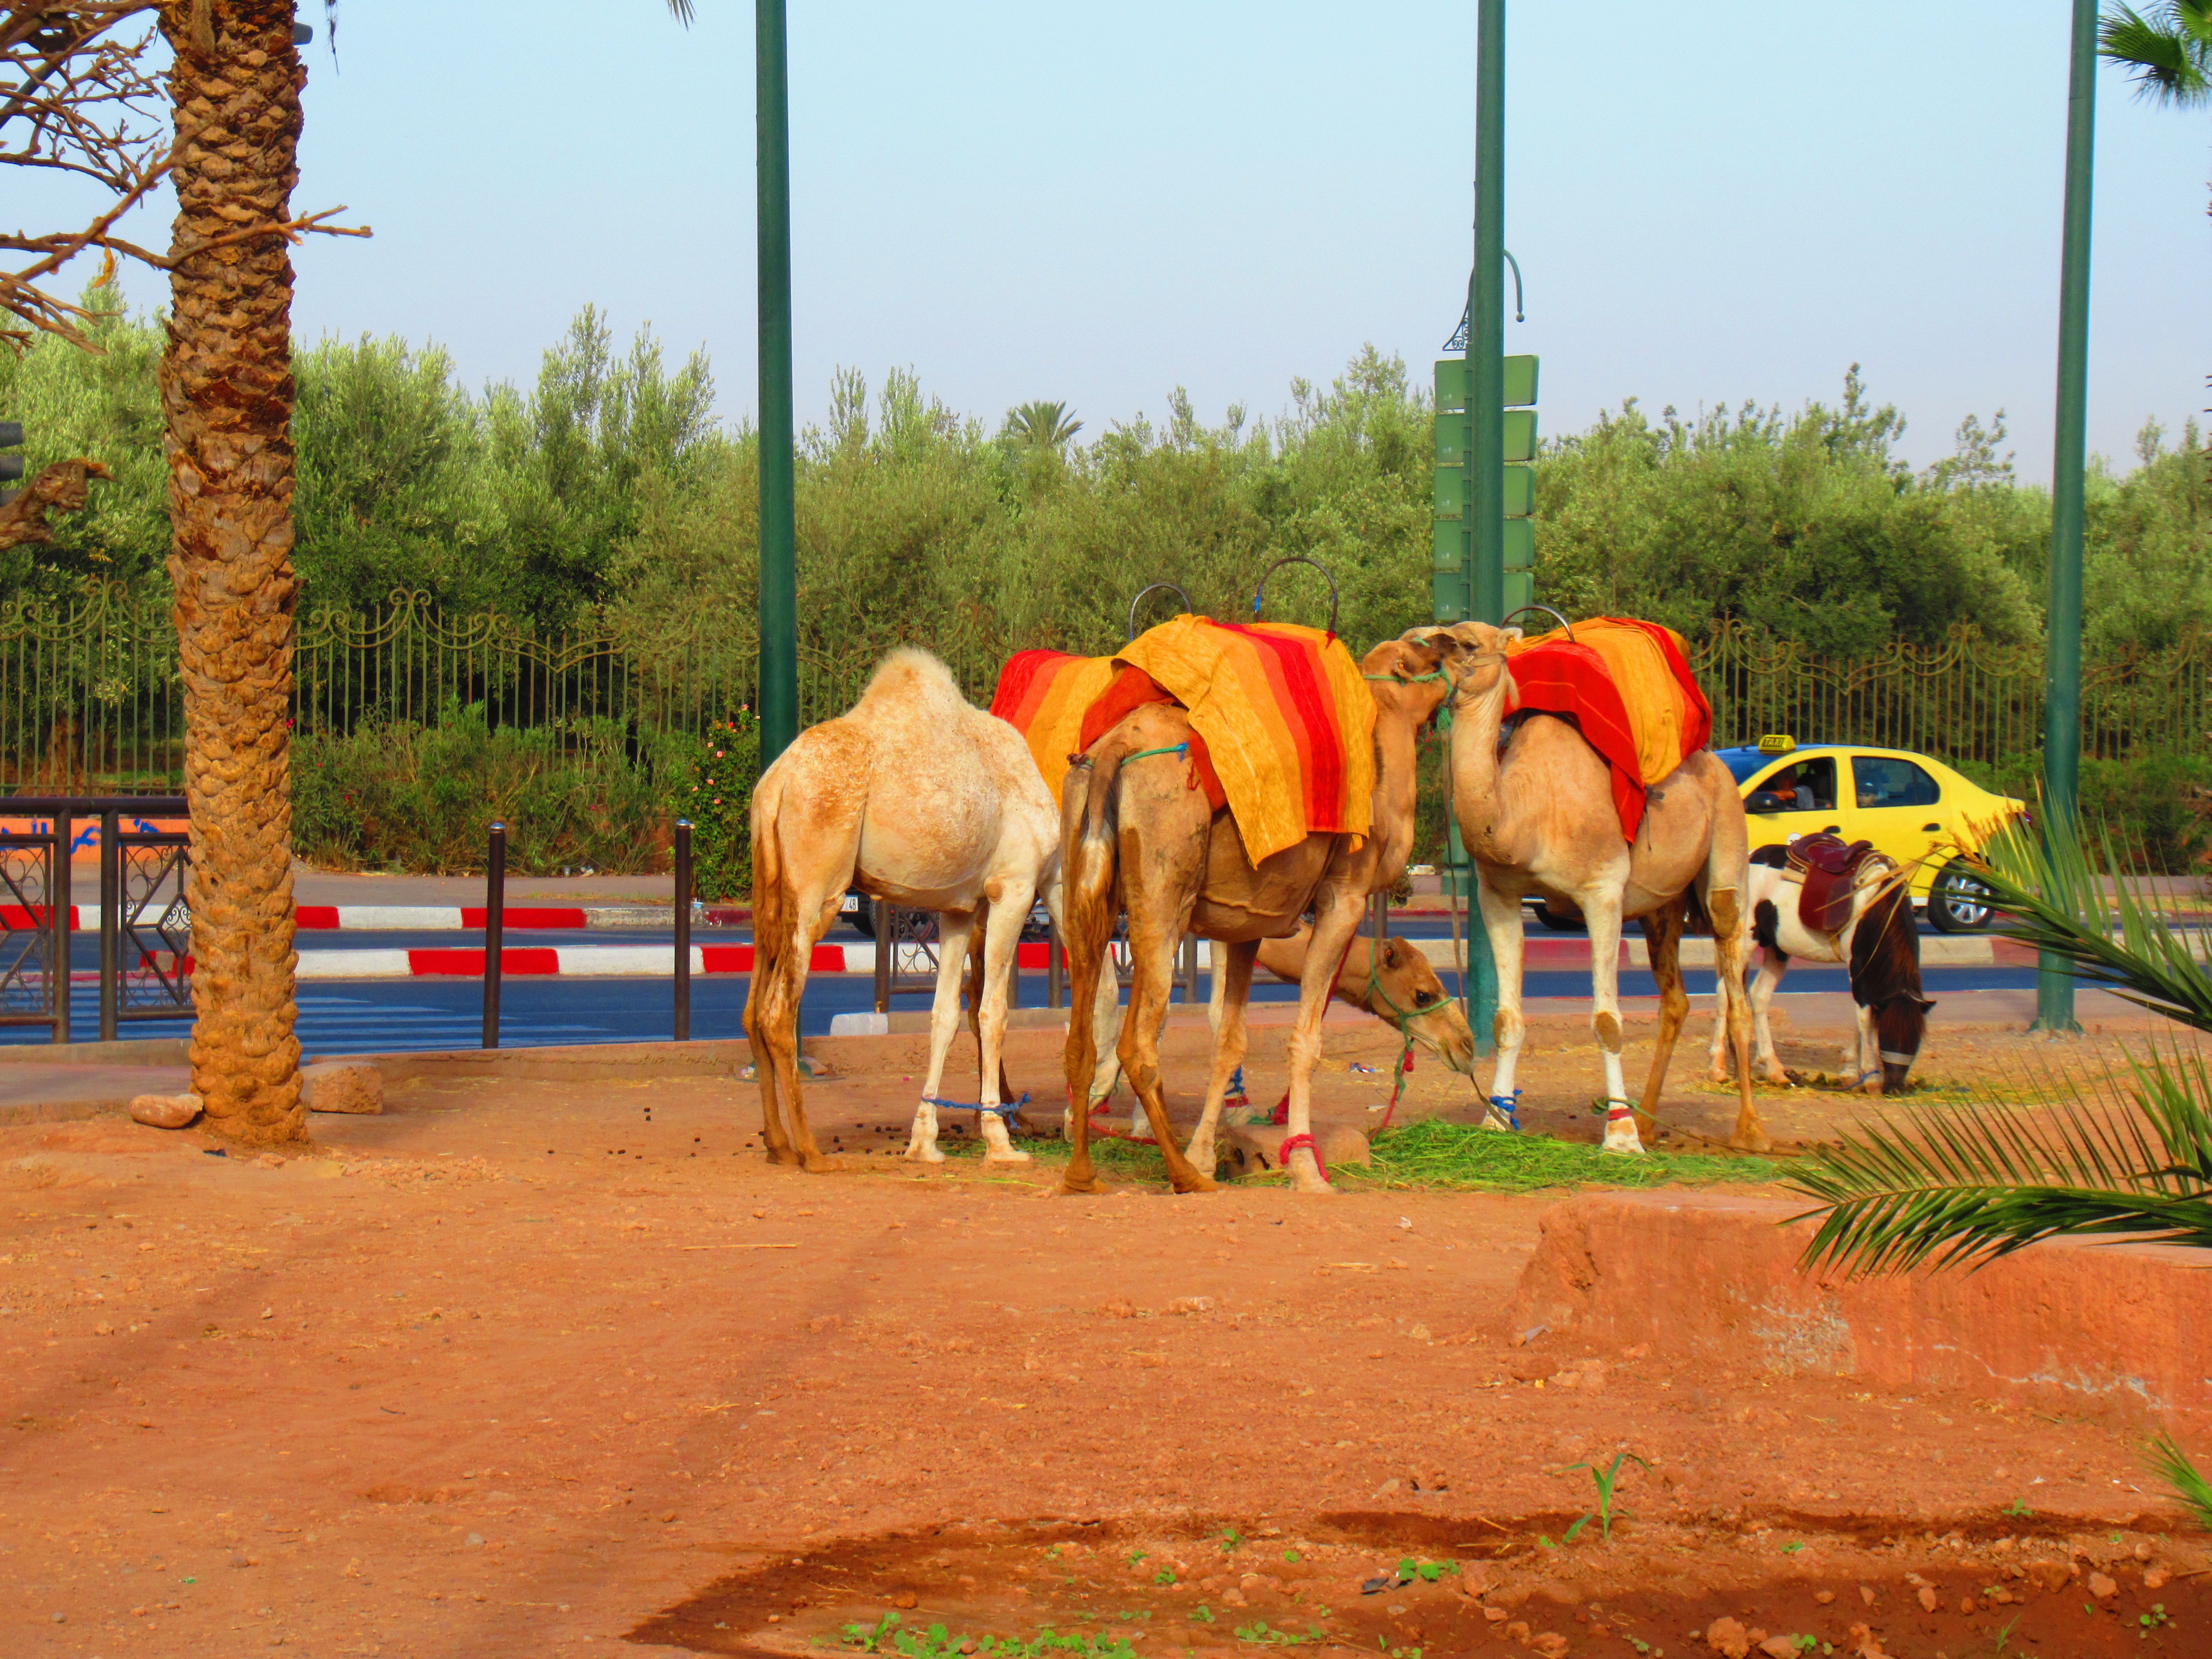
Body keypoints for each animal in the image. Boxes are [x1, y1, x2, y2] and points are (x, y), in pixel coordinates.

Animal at [748, 650, 1123, 1168]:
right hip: (816, 886)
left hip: (768, 889)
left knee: (752, 1010)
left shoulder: (959, 910)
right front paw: (1001, 1143)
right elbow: (992, 1013)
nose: (1088, 1114)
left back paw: (779, 1145)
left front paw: (924, 1141)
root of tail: (776, 783)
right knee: (777, 1010)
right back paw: (811, 1151)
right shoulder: (1014, 886)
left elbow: (944, 1013)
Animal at [1415, 623, 1761, 1159]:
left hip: (1728, 838)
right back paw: (1653, 1121)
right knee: (1676, 999)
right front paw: (1496, 1120)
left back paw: (1746, 1129)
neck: (1526, 816)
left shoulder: (1602, 892)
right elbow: (1505, 1019)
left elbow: (1607, 1022)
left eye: (1466, 643)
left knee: (1734, 974)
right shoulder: (1499, 894)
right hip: (1662, 906)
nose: (1415, 649)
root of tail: (1717, 764)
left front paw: (1620, 1137)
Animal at [1708, 849, 1938, 1097]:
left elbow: (1862, 1017)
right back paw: (1717, 1068)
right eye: (1886, 1035)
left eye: (1916, 1039)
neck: (1875, 904)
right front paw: (1871, 1077)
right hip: (1743, 943)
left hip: (1777, 949)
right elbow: (1865, 1018)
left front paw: (1850, 1070)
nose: (1895, 1088)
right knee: (1724, 994)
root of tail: (1751, 858)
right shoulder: (1858, 969)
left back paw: (1774, 1070)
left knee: (1759, 995)